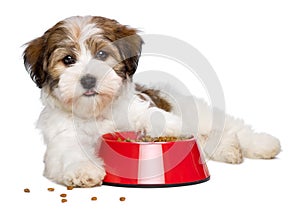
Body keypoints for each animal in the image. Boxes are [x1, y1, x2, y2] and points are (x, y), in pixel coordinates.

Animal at [23, 15, 282, 187]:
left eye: (102, 55)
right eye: (68, 59)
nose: (88, 80)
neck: (97, 111)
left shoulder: (137, 107)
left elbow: (149, 115)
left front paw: (169, 126)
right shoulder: (62, 138)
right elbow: (70, 152)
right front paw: (83, 170)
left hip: (199, 113)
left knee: (231, 128)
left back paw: (263, 144)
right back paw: (229, 149)